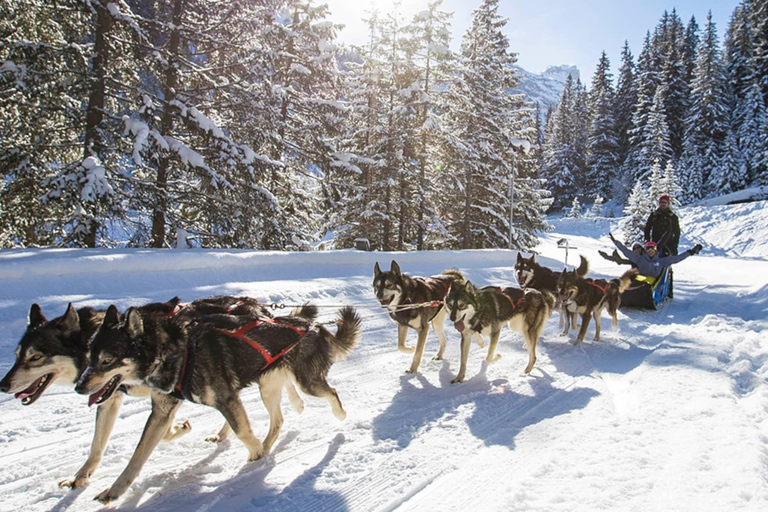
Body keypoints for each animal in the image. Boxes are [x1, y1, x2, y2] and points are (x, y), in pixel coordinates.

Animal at [76, 304, 360, 504]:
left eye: (107, 360)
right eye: (89, 357)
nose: (79, 387)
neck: (178, 350)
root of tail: (313, 325)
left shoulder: (226, 398)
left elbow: (242, 430)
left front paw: (256, 453)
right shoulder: (163, 409)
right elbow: (136, 458)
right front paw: (114, 490)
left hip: (307, 382)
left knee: (332, 392)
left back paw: (340, 413)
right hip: (268, 388)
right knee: (278, 420)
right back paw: (268, 445)